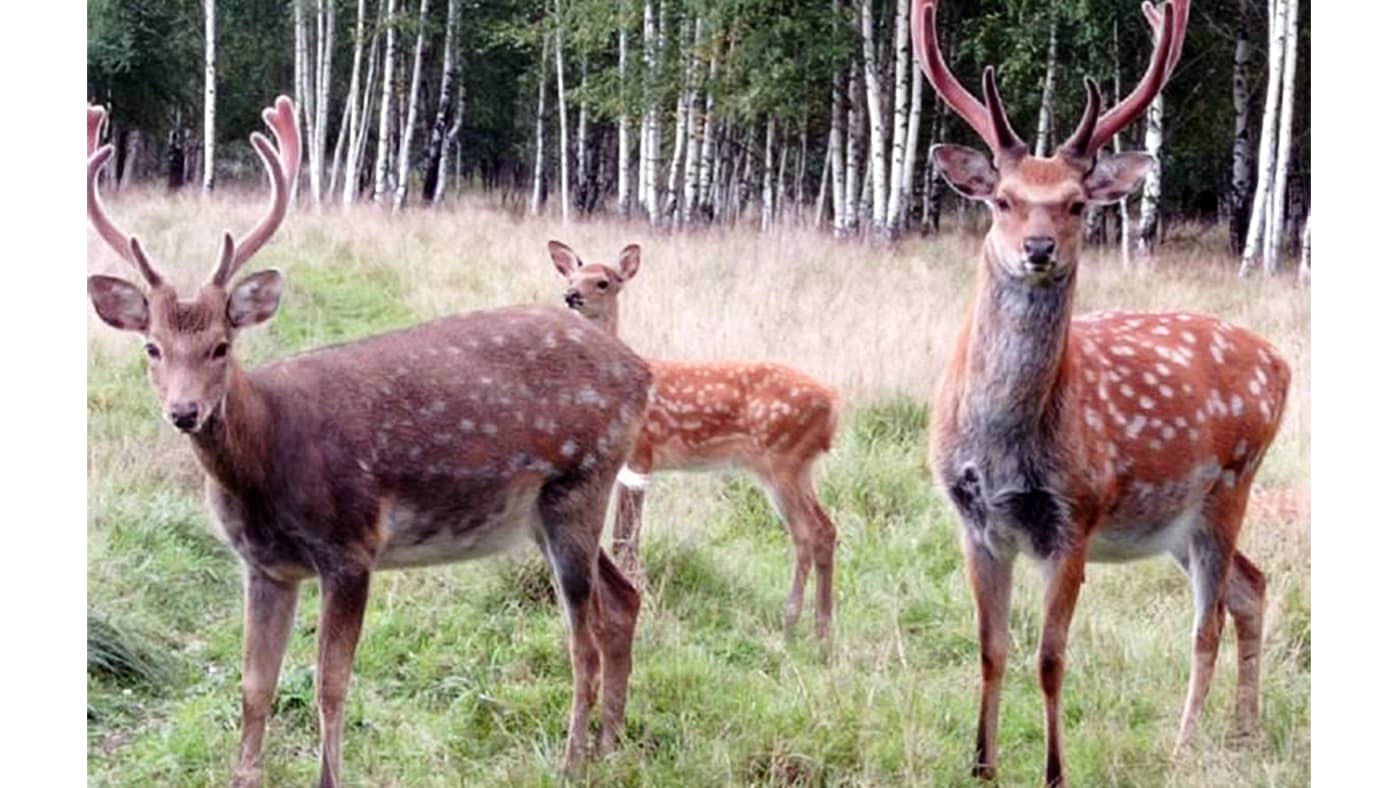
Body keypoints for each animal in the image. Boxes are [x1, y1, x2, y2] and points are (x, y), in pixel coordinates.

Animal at [86, 97, 649, 783]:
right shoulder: (264, 565)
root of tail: (642, 371)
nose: (184, 411)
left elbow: (330, 685)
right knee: (624, 598)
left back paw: (572, 762)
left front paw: (328, 777)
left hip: (581, 479)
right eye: (152, 347)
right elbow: (254, 687)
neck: (267, 459)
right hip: (551, 510)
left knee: (583, 641)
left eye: (221, 345)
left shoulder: (351, 546)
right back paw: (611, 743)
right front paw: (244, 774)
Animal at [546, 242, 834, 641]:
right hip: (801, 465)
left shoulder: (642, 453)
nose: (571, 295)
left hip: (781, 461)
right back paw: (822, 628)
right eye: (571, 276)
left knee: (806, 533)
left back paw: (791, 620)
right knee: (826, 529)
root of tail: (834, 405)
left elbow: (625, 536)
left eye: (603, 282)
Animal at [912, 3, 1282, 783]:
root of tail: (1282, 361)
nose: (1039, 248)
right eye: (1002, 200)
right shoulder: (973, 520)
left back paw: (1184, 745)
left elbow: (1051, 659)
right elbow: (990, 650)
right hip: (1176, 522)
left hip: (1231, 483)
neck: (1002, 446)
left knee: (1207, 621)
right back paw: (1244, 729)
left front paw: (1055, 771)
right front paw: (981, 765)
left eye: (1077, 204)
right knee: (1253, 586)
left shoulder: (1074, 517)